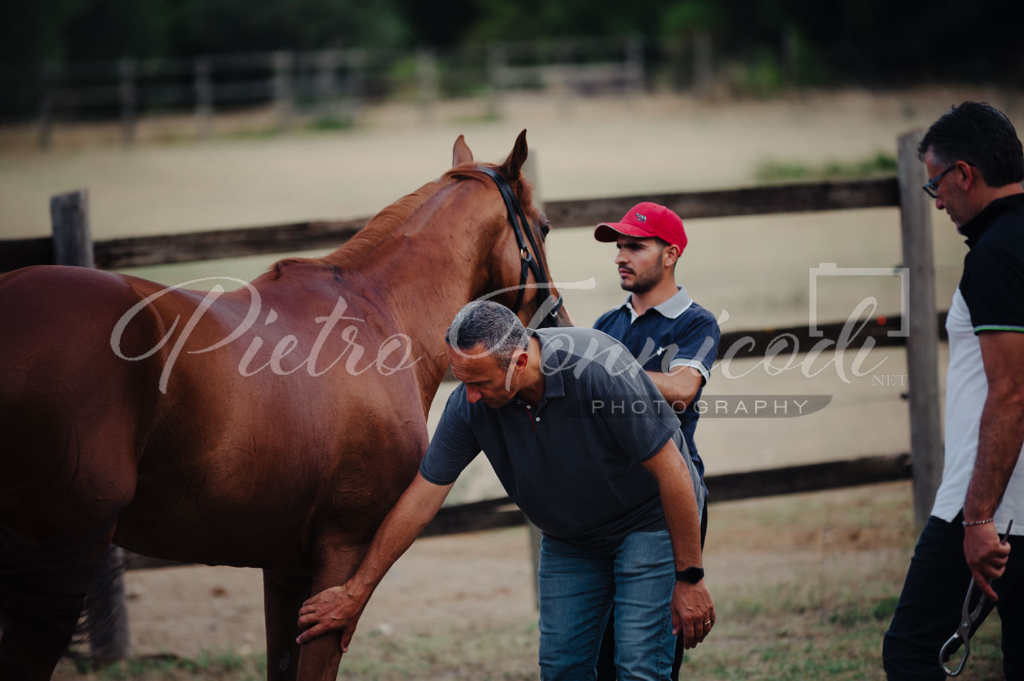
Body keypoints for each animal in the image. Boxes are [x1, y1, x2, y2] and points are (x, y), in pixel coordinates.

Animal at [0, 133, 569, 679]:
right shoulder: (343, 554)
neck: (376, 315)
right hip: (58, 566)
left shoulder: (285, 566)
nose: (558, 324)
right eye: (544, 226)